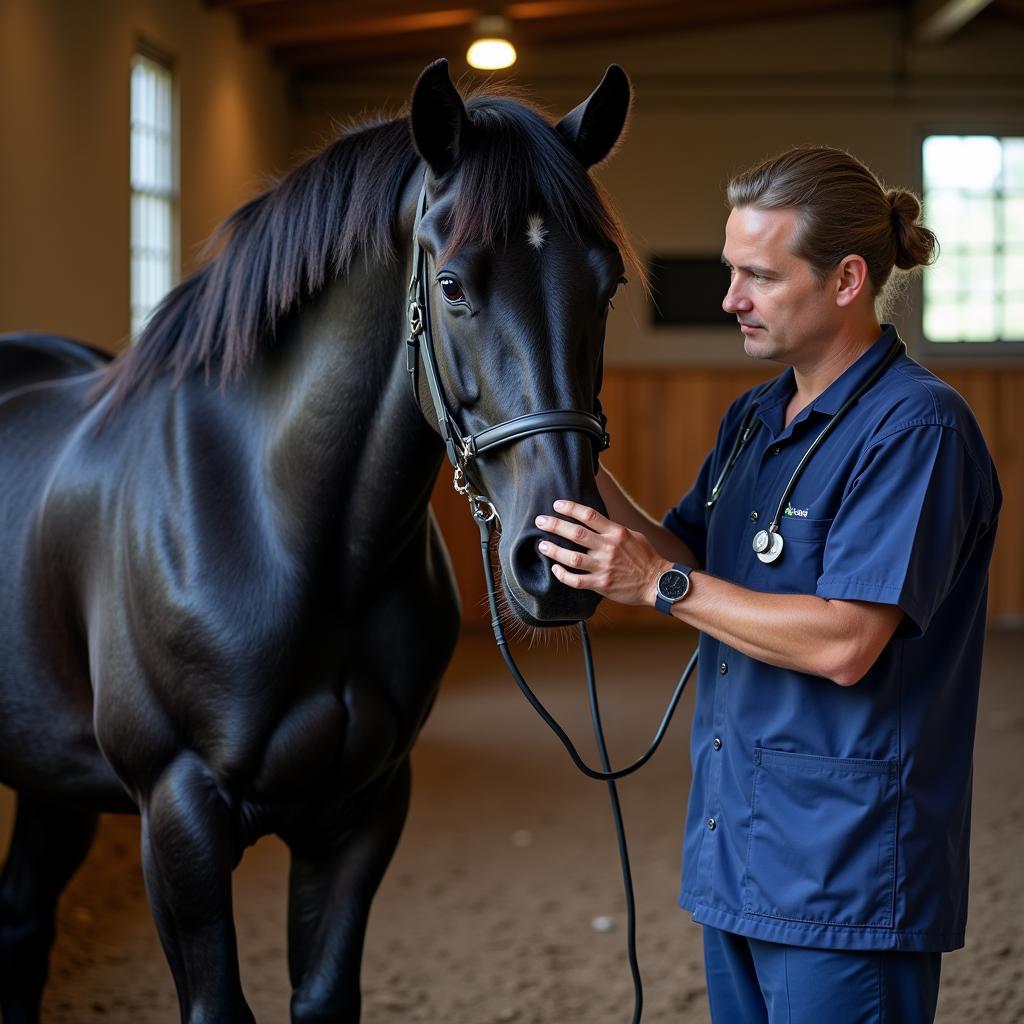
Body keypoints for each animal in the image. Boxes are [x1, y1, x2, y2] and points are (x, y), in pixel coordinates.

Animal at [0, 59, 634, 1019]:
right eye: (453, 286)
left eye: (608, 285)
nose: (558, 562)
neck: (295, 536)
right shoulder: (178, 817)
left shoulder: (362, 809)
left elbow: (327, 992)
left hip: (51, 785)